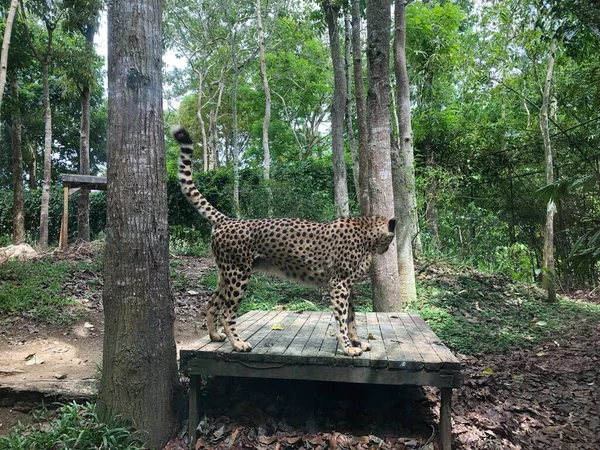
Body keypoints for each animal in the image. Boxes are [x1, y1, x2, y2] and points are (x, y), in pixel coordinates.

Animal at [173, 125, 396, 356]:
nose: (387, 249)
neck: (367, 234)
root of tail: (228, 220)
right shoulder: (339, 284)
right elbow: (342, 319)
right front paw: (348, 346)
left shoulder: (348, 286)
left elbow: (352, 318)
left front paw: (357, 342)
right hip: (238, 275)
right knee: (227, 312)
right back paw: (238, 343)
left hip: (225, 275)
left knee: (211, 303)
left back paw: (215, 336)